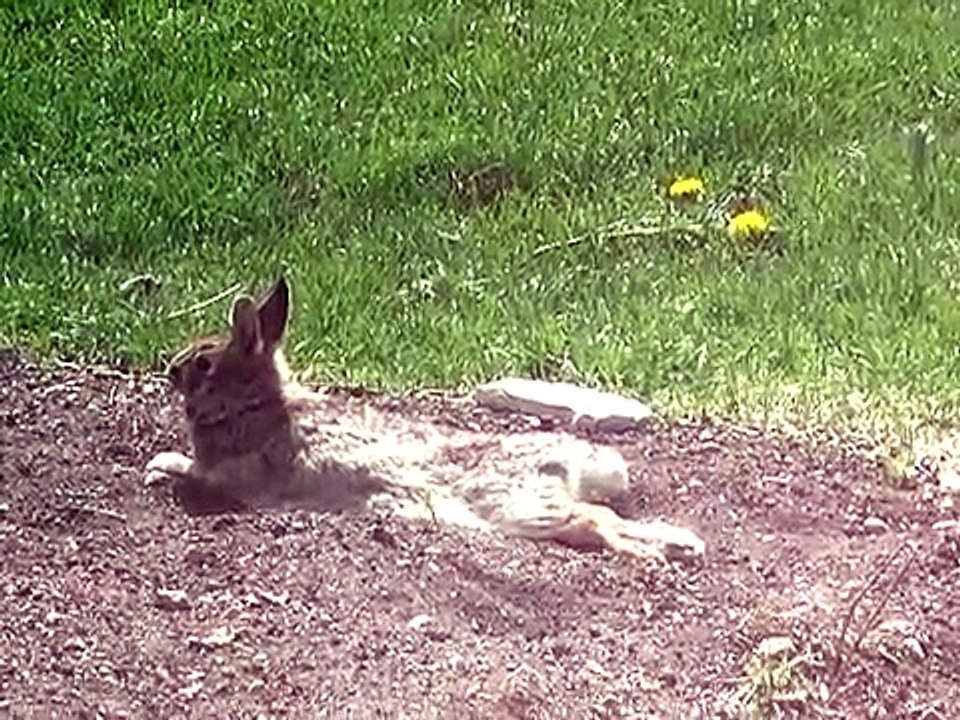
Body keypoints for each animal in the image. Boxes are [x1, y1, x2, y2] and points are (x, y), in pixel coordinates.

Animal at [145, 278, 705, 563]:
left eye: (204, 364)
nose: (171, 367)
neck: (255, 401)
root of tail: (566, 464)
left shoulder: (230, 472)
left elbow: (193, 471)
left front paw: (160, 465)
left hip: (514, 506)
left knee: (592, 520)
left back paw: (658, 553)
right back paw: (681, 545)